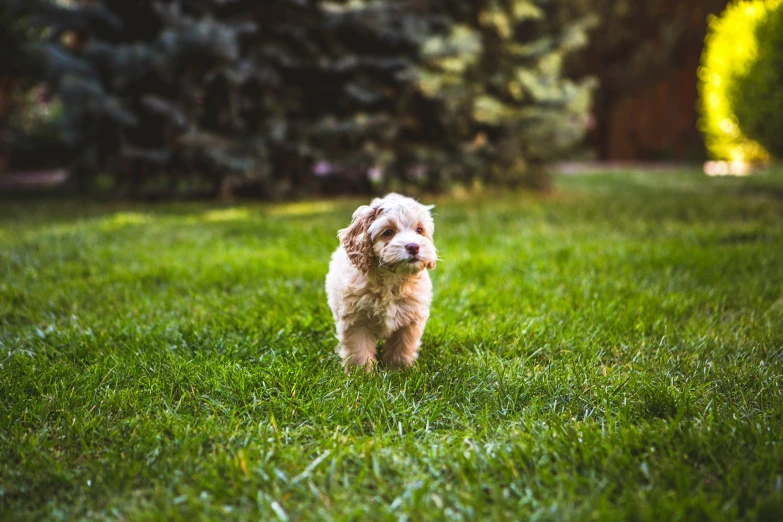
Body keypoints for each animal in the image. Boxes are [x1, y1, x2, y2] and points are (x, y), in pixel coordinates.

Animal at [326, 193, 440, 368]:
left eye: (419, 230)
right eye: (388, 232)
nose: (414, 247)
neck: (392, 278)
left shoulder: (410, 320)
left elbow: (403, 345)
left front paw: (400, 368)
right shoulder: (356, 321)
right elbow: (359, 349)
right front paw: (362, 372)